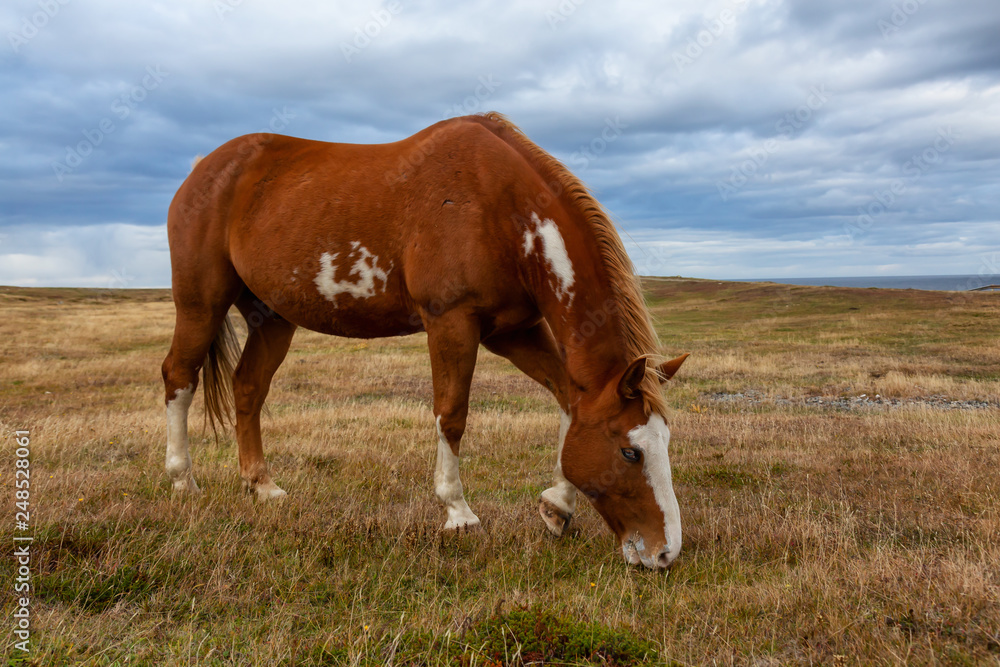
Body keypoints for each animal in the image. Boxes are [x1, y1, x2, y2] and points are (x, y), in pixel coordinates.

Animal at [161, 112, 689, 569]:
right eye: (630, 452)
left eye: (664, 441)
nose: (665, 553)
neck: (502, 209)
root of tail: (203, 169)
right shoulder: (451, 321)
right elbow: (451, 414)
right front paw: (458, 513)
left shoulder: (511, 331)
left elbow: (565, 398)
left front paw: (556, 506)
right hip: (201, 303)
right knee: (179, 377)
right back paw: (183, 481)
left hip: (272, 318)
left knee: (248, 388)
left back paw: (262, 486)